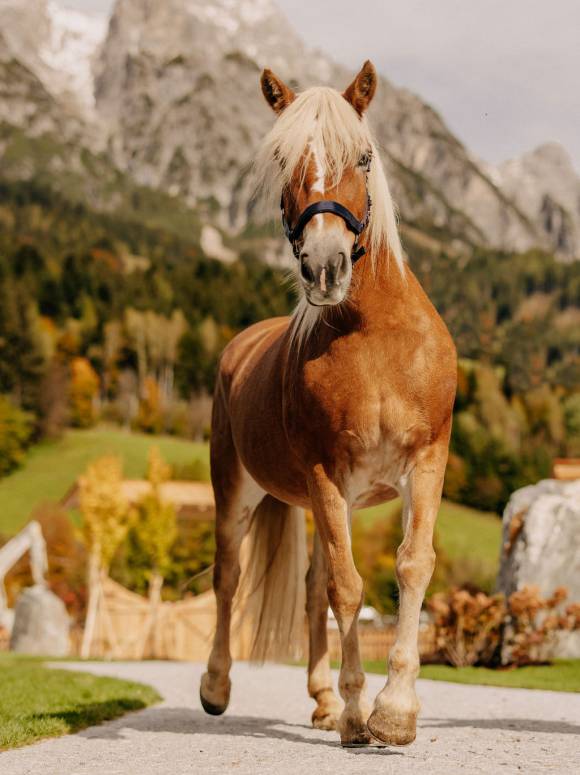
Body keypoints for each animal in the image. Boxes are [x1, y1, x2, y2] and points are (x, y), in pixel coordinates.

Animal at [201, 57, 458, 748]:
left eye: (364, 156)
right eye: (283, 158)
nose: (324, 264)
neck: (375, 339)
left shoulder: (425, 463)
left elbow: (412, 567)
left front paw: (393, 710)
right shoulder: (325, 473)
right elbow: (348, 587)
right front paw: (355, 714)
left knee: (312, 586)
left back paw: (319, 698)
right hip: (237, 488)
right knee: (229, 577)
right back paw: (217, 687)